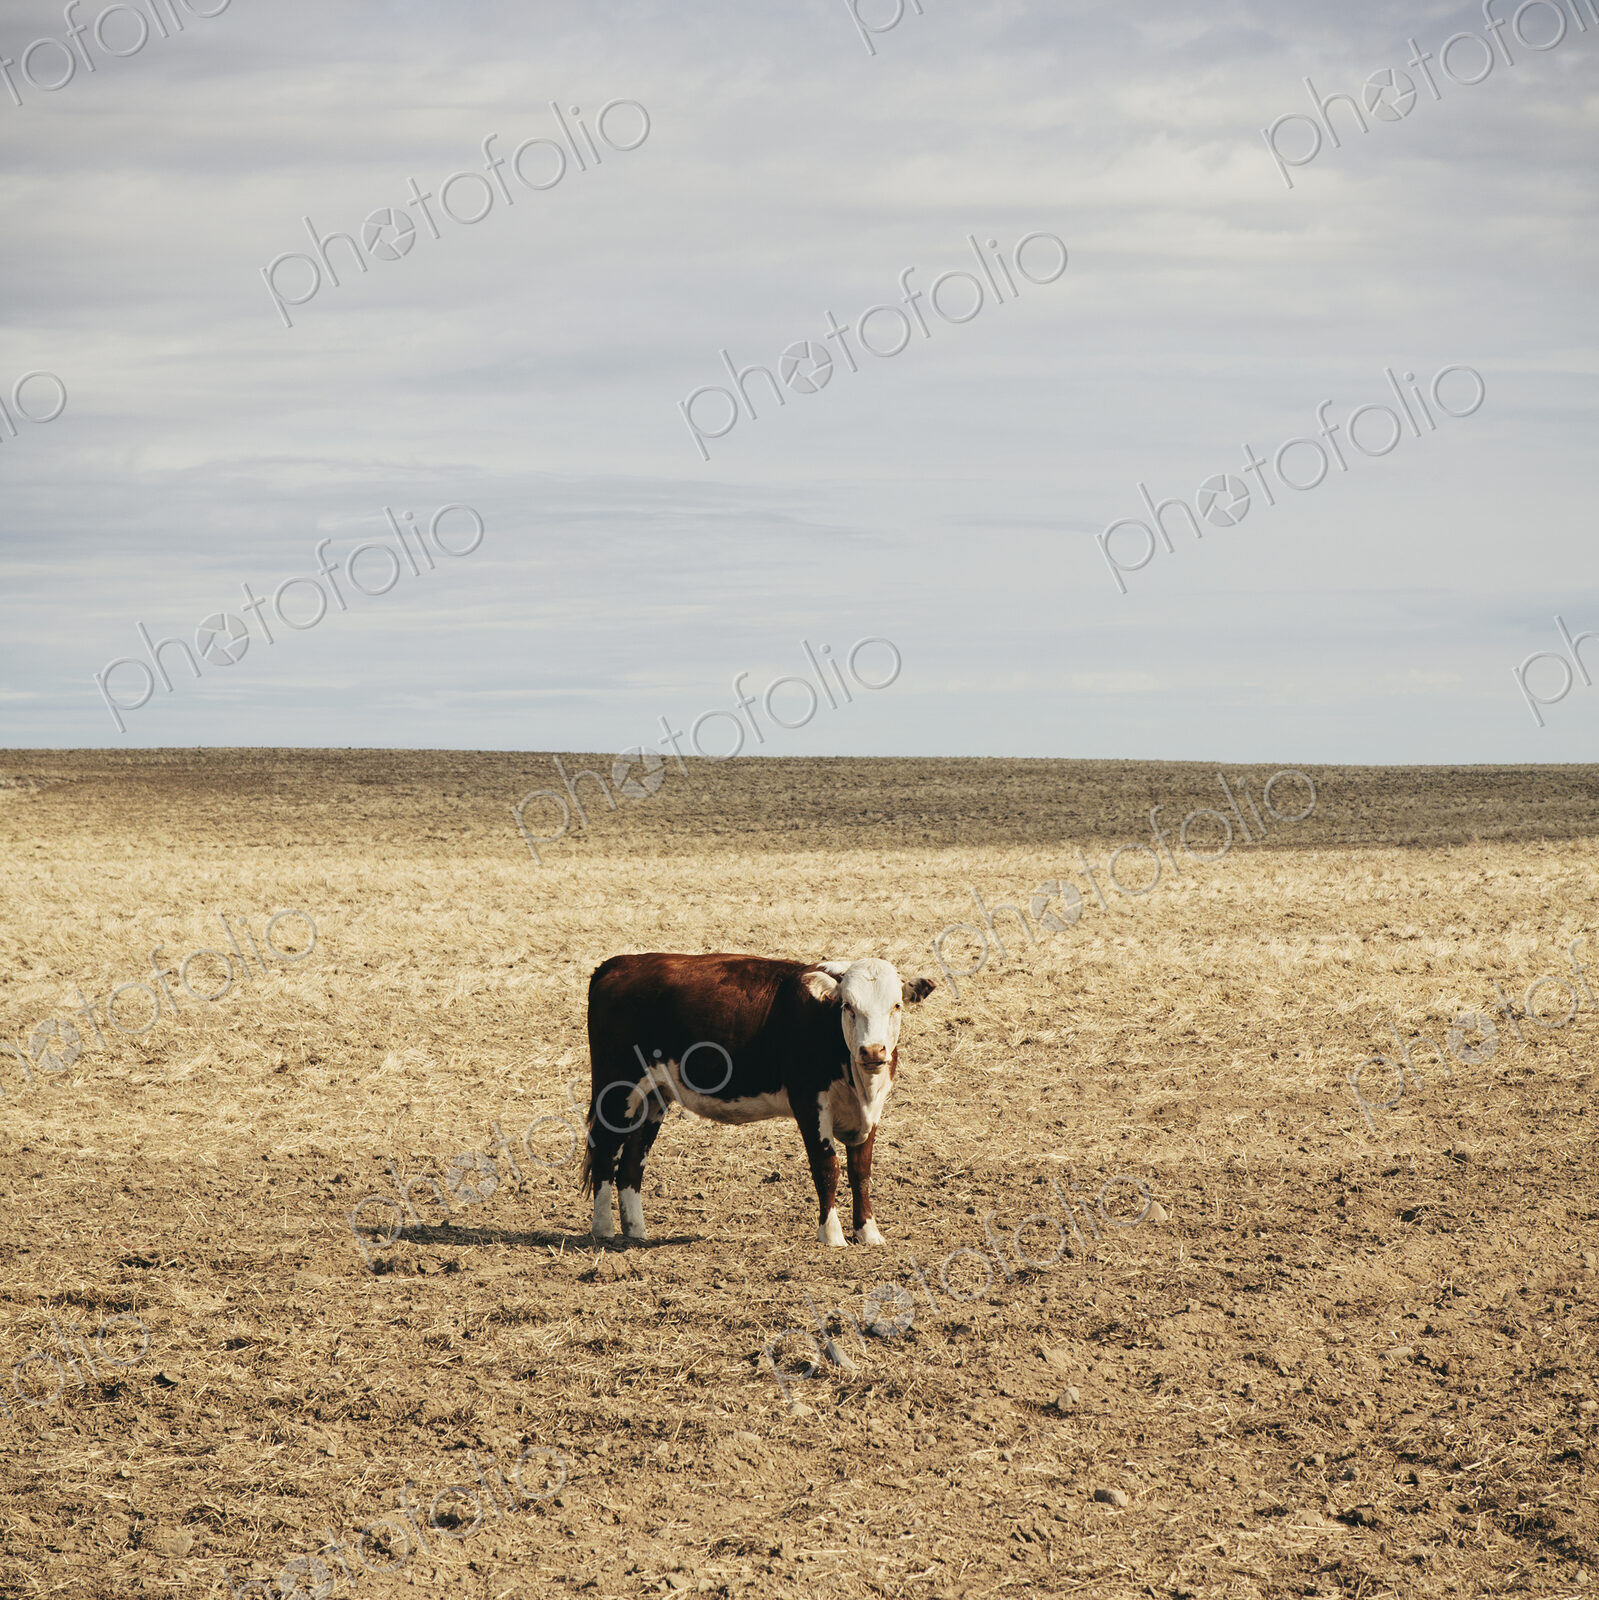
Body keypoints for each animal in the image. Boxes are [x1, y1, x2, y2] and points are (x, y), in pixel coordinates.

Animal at [579, 953, 935, 1246]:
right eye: (847, 1006)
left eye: (896, 1006)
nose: (873, 1051)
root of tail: (618, 964)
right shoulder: (809, 1102)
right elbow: (827, 1167)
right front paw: (832, 1235)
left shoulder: (870, 1111)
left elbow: (860, 1171)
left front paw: (868, 1233)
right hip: (617, 1089)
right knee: (606, 1151)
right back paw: (603, 1229)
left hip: (652, 1097)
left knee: (632, 1161)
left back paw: (636, 1232)